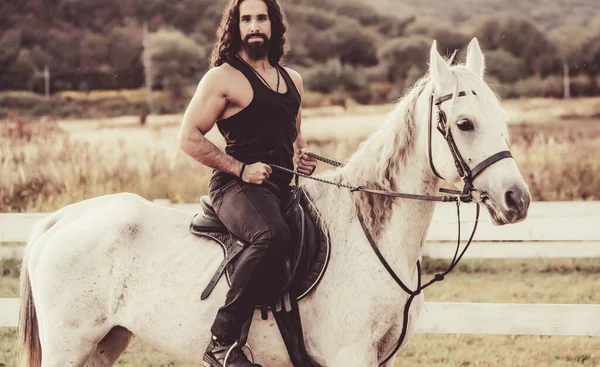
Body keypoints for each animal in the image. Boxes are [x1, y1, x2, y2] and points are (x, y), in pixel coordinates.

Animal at [16, 38, 528, 367]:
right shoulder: (349, 356)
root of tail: (60, 219)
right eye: (464, 123)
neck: (367, 235)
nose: (517, 200)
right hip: (70, 346)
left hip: (107, 342)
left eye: (502, 119)